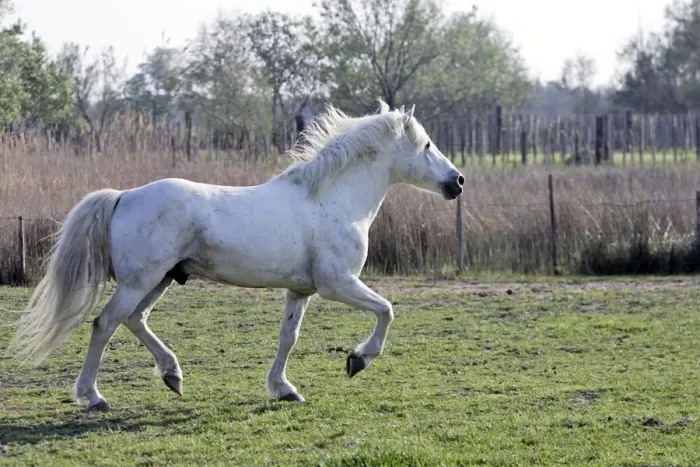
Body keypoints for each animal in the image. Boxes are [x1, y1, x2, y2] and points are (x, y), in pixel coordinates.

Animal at [5, 100, 464, 411]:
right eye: (426, 144)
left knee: (134, 320)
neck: (331, 198)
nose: (457, 181)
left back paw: (172, 375)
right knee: (105, 324)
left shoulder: (301, 291)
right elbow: (387, 310)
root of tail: (123, 195)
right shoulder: (338, 284)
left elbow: (288, 338)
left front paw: (284, 389)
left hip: (161, 279)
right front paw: (357, 360)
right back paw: (93, 396)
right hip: (141, 280)